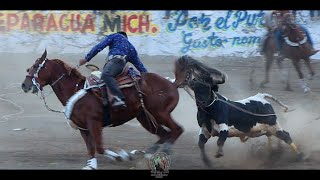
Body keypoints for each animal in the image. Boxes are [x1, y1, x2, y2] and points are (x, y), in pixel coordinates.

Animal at [20, 49, 182, 170]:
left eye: (36, 66)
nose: (24, 85)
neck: (76, 89)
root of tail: (172, 83)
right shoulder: (83, 128)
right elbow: (91, 148)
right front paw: (91, 165)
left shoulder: (94, 123)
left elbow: (99, 147)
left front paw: (120, 156)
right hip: (145, 118)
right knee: (164, 134)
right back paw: (147, 155)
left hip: (160, 113)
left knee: (176, 130)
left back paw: (164, 151)